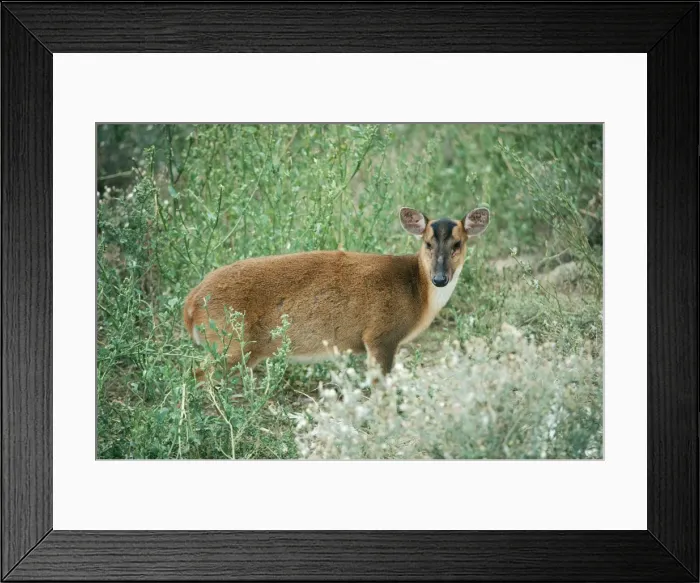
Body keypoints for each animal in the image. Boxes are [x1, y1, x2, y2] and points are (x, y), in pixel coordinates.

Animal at [183, 206, 490, 382]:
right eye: (427, 243)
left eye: (458, 244)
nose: (440, 278)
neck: (416, 291)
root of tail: (190, 304)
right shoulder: (380, 334)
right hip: (230, 343)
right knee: (197, 376)